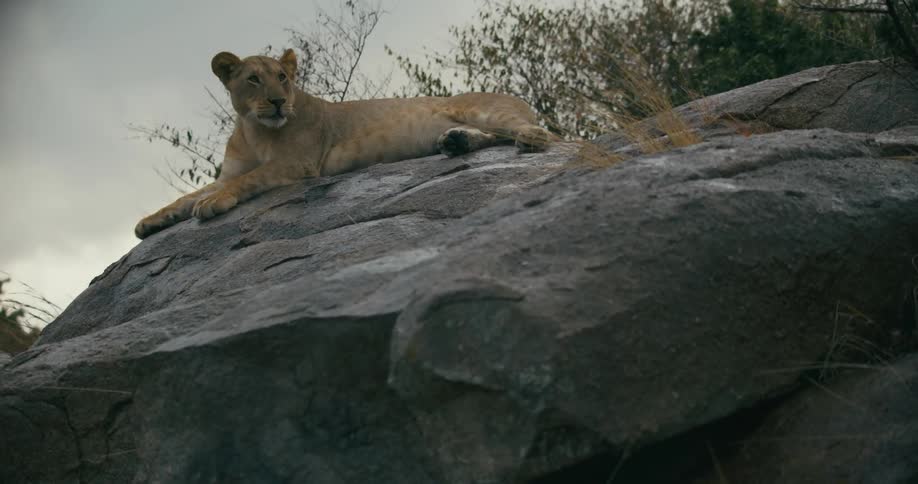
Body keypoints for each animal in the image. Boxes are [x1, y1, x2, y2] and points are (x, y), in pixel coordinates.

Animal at [134, 49, 557, 239]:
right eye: (253, 79)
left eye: (283, 77)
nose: (278, 102)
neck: (252, 129)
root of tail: (521, 100)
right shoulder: (230, 171)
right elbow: (185, 196)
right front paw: (150, 221)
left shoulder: (299, 163)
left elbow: (245, 182)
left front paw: (212, 205)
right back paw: (455, 142)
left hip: (481, 109)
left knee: (541, 135)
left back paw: (529, 139)